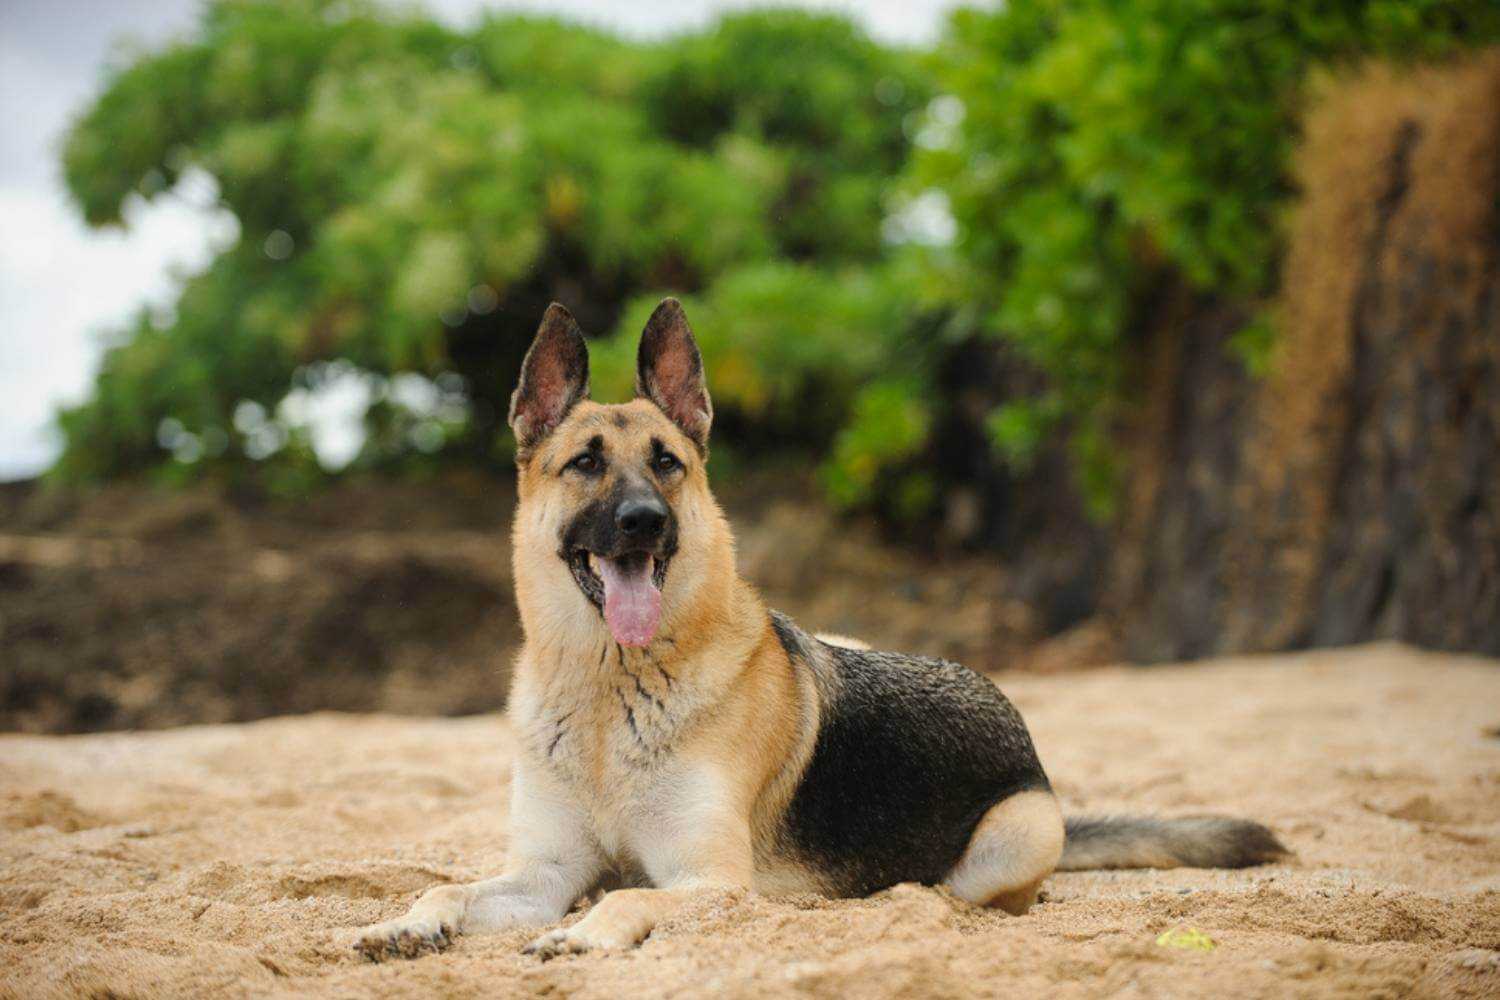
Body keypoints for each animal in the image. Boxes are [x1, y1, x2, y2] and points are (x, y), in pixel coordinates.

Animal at [354, 299, 1290, 959]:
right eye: (585, 463)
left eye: (667, 464)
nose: (645, 522)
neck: (605, 689)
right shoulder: (542, 874)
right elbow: (448, 890)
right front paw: (407, 923)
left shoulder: (714, 882)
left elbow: (627, 893)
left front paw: (585, 933)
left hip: (1015, 835)